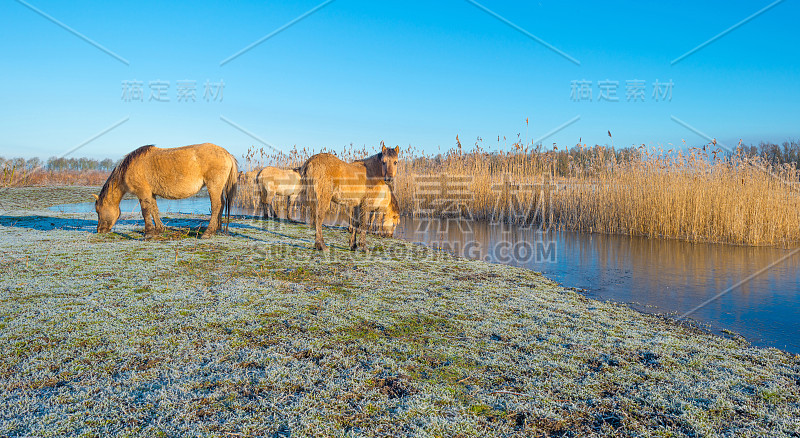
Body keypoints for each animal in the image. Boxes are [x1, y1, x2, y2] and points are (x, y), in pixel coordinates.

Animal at [93, 143, 238, 240]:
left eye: (98, 211)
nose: (99, 230)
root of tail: (226, 153)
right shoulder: (151, 194)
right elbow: (154, 210)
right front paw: (159, 229)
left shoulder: (143, 193)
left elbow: (146, 212)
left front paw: (148, 234)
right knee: (221, 205)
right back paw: (217, 229)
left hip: (213, 187)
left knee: (216, 206)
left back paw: (208, 233)